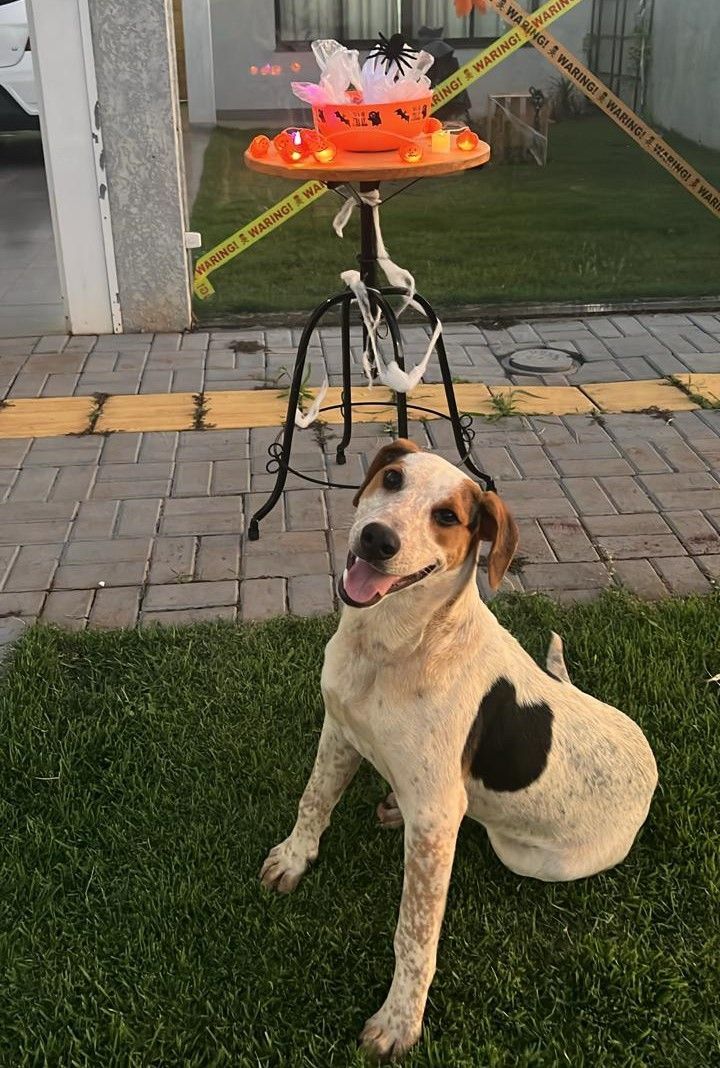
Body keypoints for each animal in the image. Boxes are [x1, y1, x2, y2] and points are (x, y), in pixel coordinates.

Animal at [260, 439, 658, 1061]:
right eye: (392, 479)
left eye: (447, 517)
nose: (376, 538)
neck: (394, 647)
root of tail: (650, 763)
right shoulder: (339, 731)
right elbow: (313, 800)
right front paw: (295, 858)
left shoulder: (436, 819)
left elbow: (415, 931)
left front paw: (400, 1021)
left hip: (523, 854)